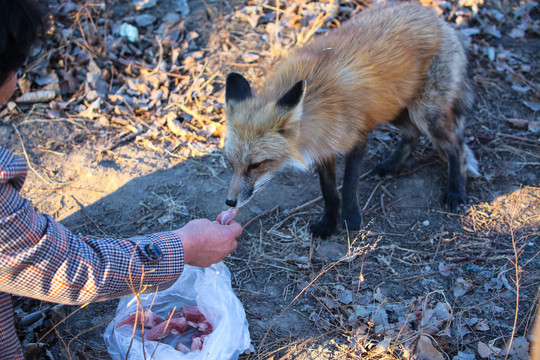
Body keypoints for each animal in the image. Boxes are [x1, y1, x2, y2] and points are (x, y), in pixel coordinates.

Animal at [221, 1, 478, 238]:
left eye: (256, 165)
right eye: (230, 163)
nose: (230, 202)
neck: (317, 100)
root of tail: (438, 19)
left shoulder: (357, 136)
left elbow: (348, 185)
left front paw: (351, 218)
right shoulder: (324, 145)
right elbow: (329, 191)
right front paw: (328, 223)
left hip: (424, 113)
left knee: (457, 148)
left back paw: (455, 191)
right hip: (392, 109)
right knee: (412, 134)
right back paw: (392, 165)